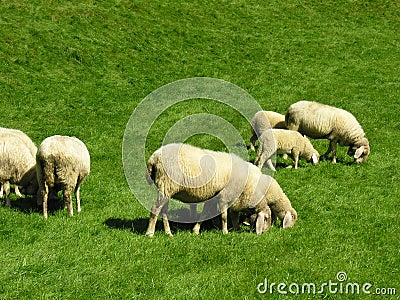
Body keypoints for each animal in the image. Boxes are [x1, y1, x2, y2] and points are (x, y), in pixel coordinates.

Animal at [145, 143, 296, 237]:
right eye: (266, 219)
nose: (266, 232)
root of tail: (153, 158)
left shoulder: (218, 197)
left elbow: (207, 214)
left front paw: (196, 230)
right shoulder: (224, 197)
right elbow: (224, 216)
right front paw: (225, 231)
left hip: (166, 189)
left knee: (163, 211)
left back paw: (168, 233)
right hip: (166, 186)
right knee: (155, 209)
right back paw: (150, 233)